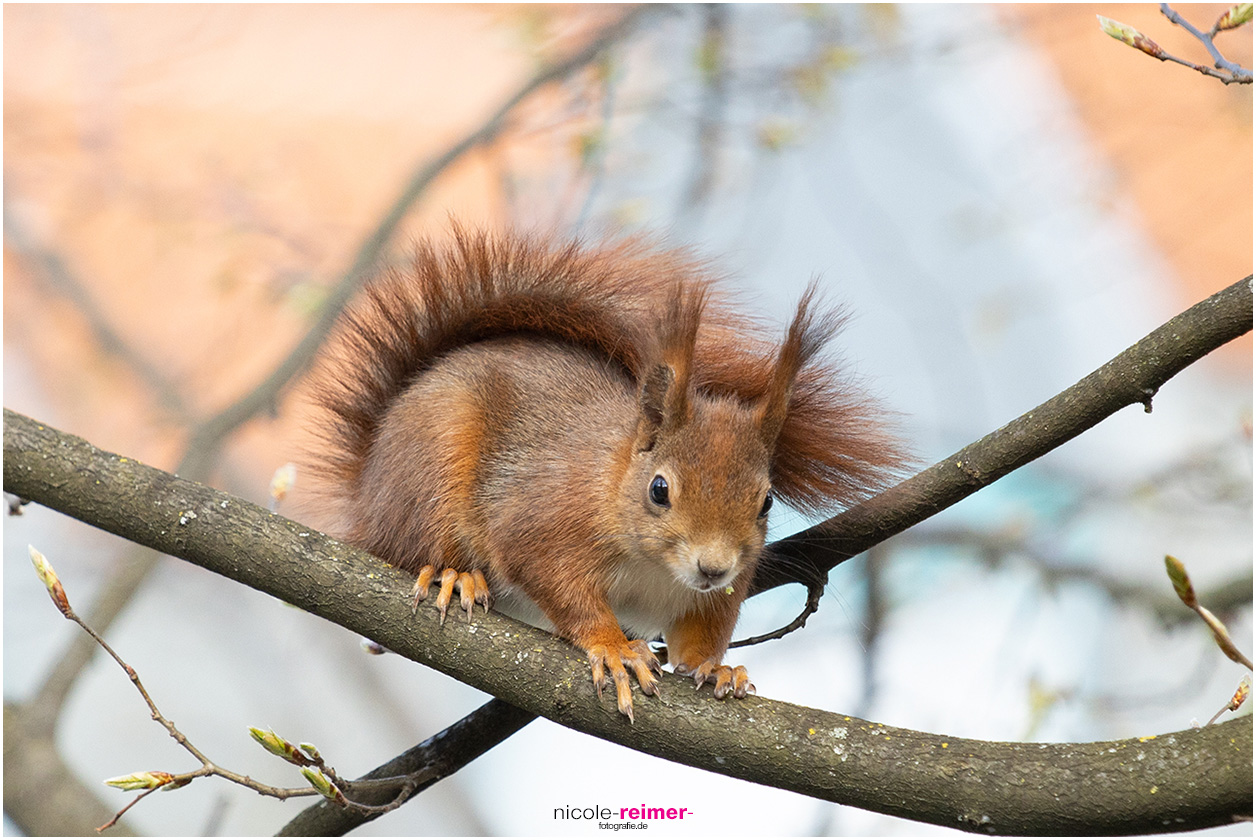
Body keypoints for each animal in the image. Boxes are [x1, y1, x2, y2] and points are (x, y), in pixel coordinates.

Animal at [314, 229, 904, 723]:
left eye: (767, 503)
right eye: (659, 489)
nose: (712, 567)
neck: (655, 567)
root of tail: (366, 498)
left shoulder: (723, 588)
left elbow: (701, 633)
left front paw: (714, 666)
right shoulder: (543, 525)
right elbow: (559, 585)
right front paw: (615, 648)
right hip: (430, 467)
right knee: (416, 543)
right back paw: (455, 574)